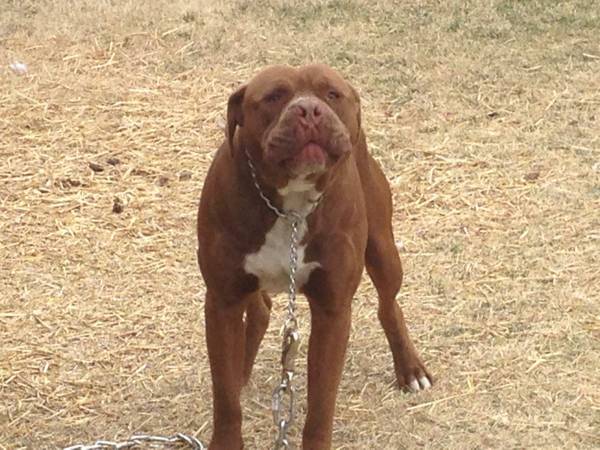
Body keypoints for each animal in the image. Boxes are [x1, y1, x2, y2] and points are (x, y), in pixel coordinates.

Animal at [197, 64, 432, 450]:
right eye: (274, 95)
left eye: (332, 94)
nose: (309, 110)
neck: (289, 205)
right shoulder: (222, 301)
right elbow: (225, 396)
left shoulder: (332, 310)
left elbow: (322, 402)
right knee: (259, 311)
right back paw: (242, 368)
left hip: (382, 248)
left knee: (388, 304)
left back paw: (410, 369)